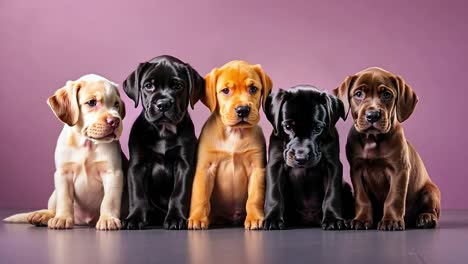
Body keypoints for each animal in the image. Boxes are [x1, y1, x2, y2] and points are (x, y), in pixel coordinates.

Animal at [4, 74, 128, 231]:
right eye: (92, 102)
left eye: (116, 104)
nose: (115, 121)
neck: (86, 144)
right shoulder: (63, 174)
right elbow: (65, 199)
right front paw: (62, 218)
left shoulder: (113, 173)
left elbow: (109, 200)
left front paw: (108, 219)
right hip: (54, 192)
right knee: (53, 207)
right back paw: (43, 215)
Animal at [123, 55, 204, 229]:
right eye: (148, 86)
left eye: (178, 86)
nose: (163, 104)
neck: (163, 131)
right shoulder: (137, 166)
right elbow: (137, 194)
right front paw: (134, 218)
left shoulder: (184, 164)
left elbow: (179, 193)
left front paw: (175, 218)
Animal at [188, 59, 272, 229]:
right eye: (225, 91)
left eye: (253, 89)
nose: (243, 110)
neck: (234, 133)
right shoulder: (205, 169)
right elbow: (200, 197)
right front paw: (197, 218)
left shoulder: (257, 169)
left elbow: (254, 198)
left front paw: (255, 217)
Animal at [264, 85, 354, 230]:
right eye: (287, 127)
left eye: (317, 128)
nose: (301, 158)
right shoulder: (275, 164)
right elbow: (274, 192)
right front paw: (272, 218)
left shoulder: (333, 165)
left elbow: (332, 194)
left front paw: (333, 219)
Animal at [334, 67, 440, 230]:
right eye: (358, 94)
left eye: (386, 95)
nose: (373, 115)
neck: (372, 139)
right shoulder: (356, 170)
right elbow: (362, 198)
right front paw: (361, 219)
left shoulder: (399, 170)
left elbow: (394, 197)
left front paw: (391, 220)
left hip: (431, 190)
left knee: (430, 209)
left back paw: (426, 217)